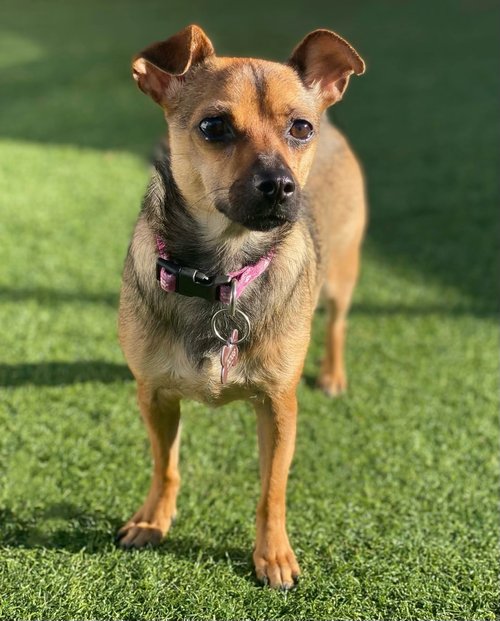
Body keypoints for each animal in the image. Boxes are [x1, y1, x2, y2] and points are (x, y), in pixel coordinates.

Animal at [117, 24, 366, 590]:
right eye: (214, 126)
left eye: (299, 128)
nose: (280, 185)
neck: (220, 275)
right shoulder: (154, 396)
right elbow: (165, 465)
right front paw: (152, 519)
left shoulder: (278, 406)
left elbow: (272, 489)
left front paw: (273, 555)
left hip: (342, 274)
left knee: (337, 323)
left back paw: (333, 374)